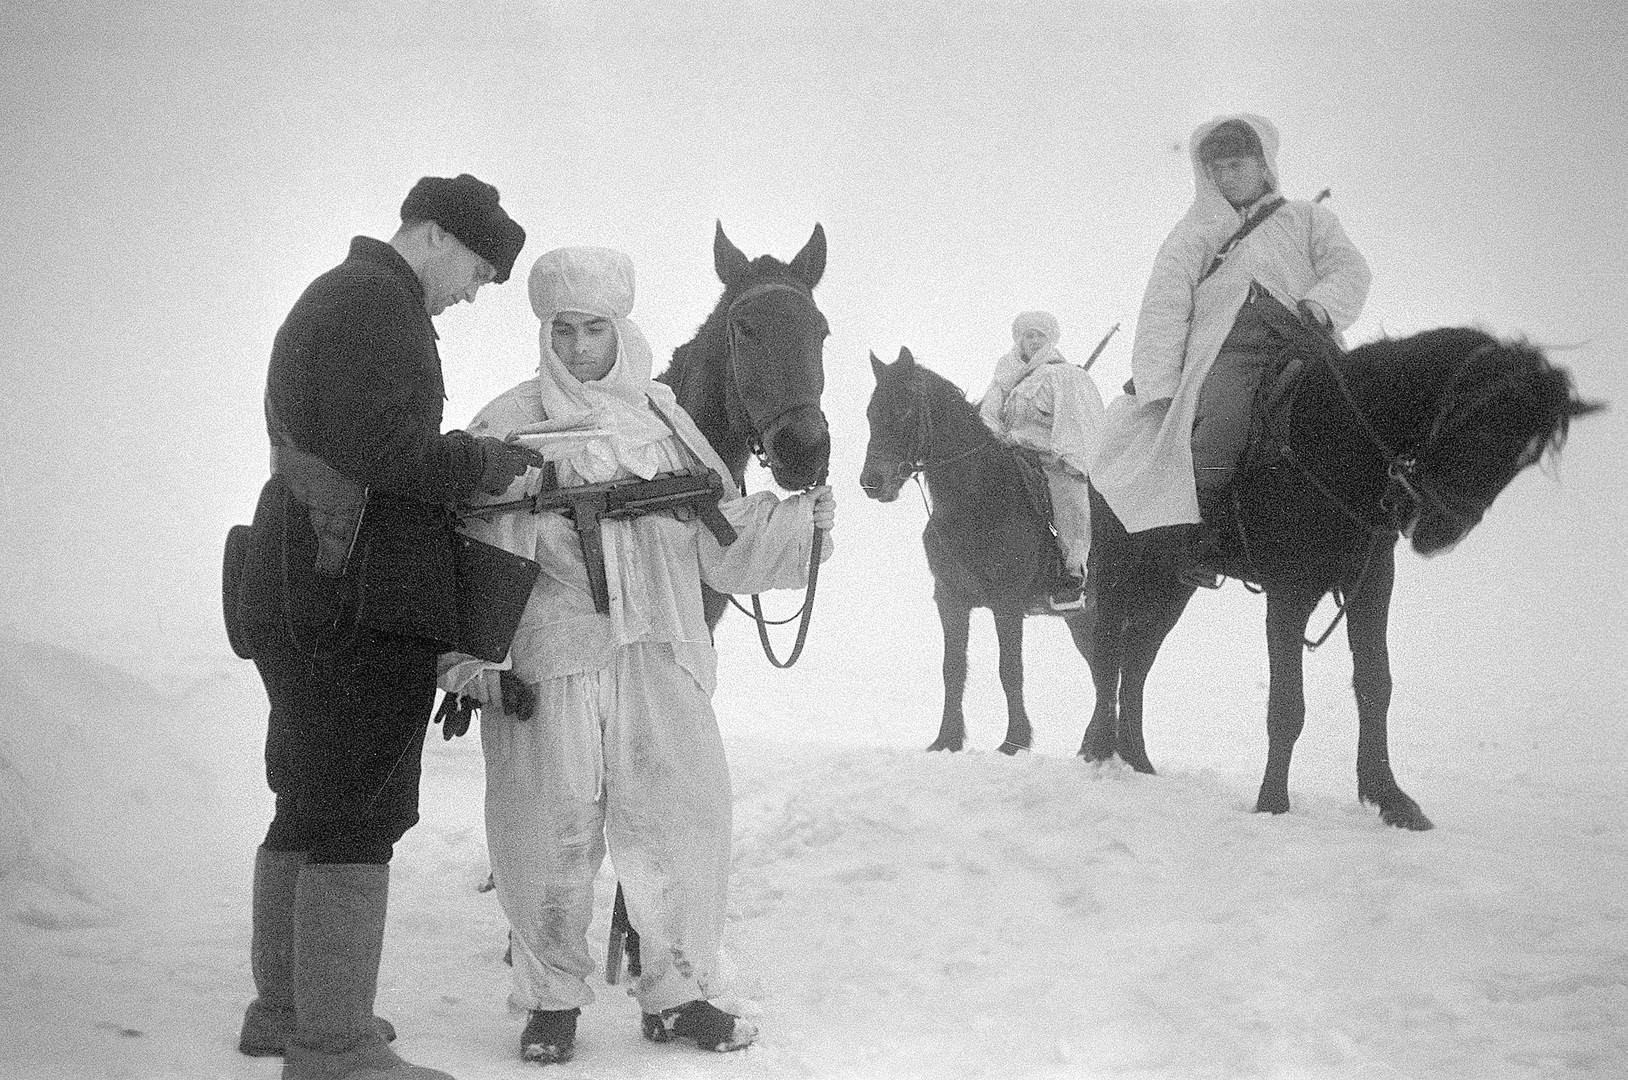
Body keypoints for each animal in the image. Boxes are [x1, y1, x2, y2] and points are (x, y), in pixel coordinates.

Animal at [1080, 307, 1601, 830]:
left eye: (1525, 457)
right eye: (1483, 428)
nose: (1440, 533)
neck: (1334, 444)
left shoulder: (1372, 584)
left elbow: (1375, 685)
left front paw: (1389, 797)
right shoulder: (1289, 593)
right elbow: (1287, 704)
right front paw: (1273, 801)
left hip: (1172, 584)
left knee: (1137, 658)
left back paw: (1137, 759)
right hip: (1117, 570)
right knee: (1107, 654)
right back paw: (1100, 750)